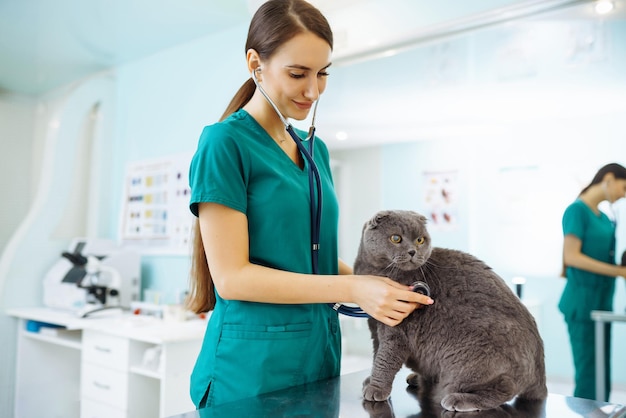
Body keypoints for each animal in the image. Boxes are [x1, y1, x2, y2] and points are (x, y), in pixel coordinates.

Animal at [352, 211, 544, 414]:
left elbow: (385, 359)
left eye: (420, 240)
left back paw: (458, 399)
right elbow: (376, 353)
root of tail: (540, 372)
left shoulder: (397, 330)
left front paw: (376, 388)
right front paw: (370, 381)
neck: (374, 272)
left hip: (473, 360)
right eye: (396, 238)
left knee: (505, 387)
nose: (413, 251)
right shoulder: (374, 324)